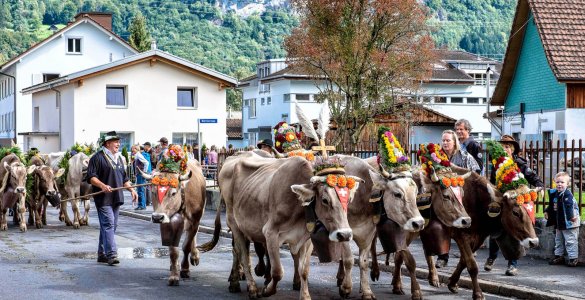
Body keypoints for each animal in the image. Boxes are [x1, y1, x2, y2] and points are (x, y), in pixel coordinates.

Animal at [198, 152, 358, 300]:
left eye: (349, 199)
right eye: (325, 200)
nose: (345, 234)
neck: (299, 206)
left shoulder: (306, 239)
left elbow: (304, 270)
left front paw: (305, 295)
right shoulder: (270, 233)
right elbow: (277, 272)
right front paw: (267, 290)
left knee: (240, 252)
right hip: (234, 224)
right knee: (241, 254)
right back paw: (249, 288)